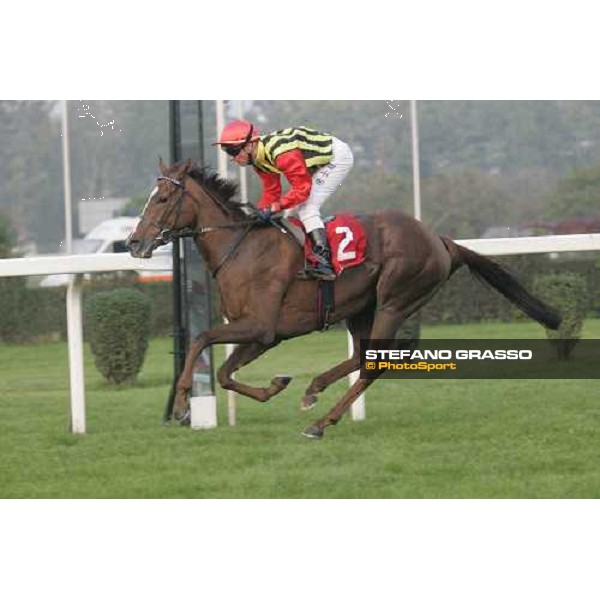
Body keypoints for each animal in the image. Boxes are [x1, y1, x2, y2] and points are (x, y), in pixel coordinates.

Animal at [127, 158, 564, 440]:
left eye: (161, 199)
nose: (134, 242)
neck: (243, 249)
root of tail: (440, 240)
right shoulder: (263, 335)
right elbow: (223, 372)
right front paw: (276, 385)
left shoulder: (262, 327)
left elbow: (201, 340)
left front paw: (182, 405)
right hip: (360, 309)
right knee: (364, 357)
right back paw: (314, 390)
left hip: (394, 300)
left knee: (376, 363)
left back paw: (320, 421)